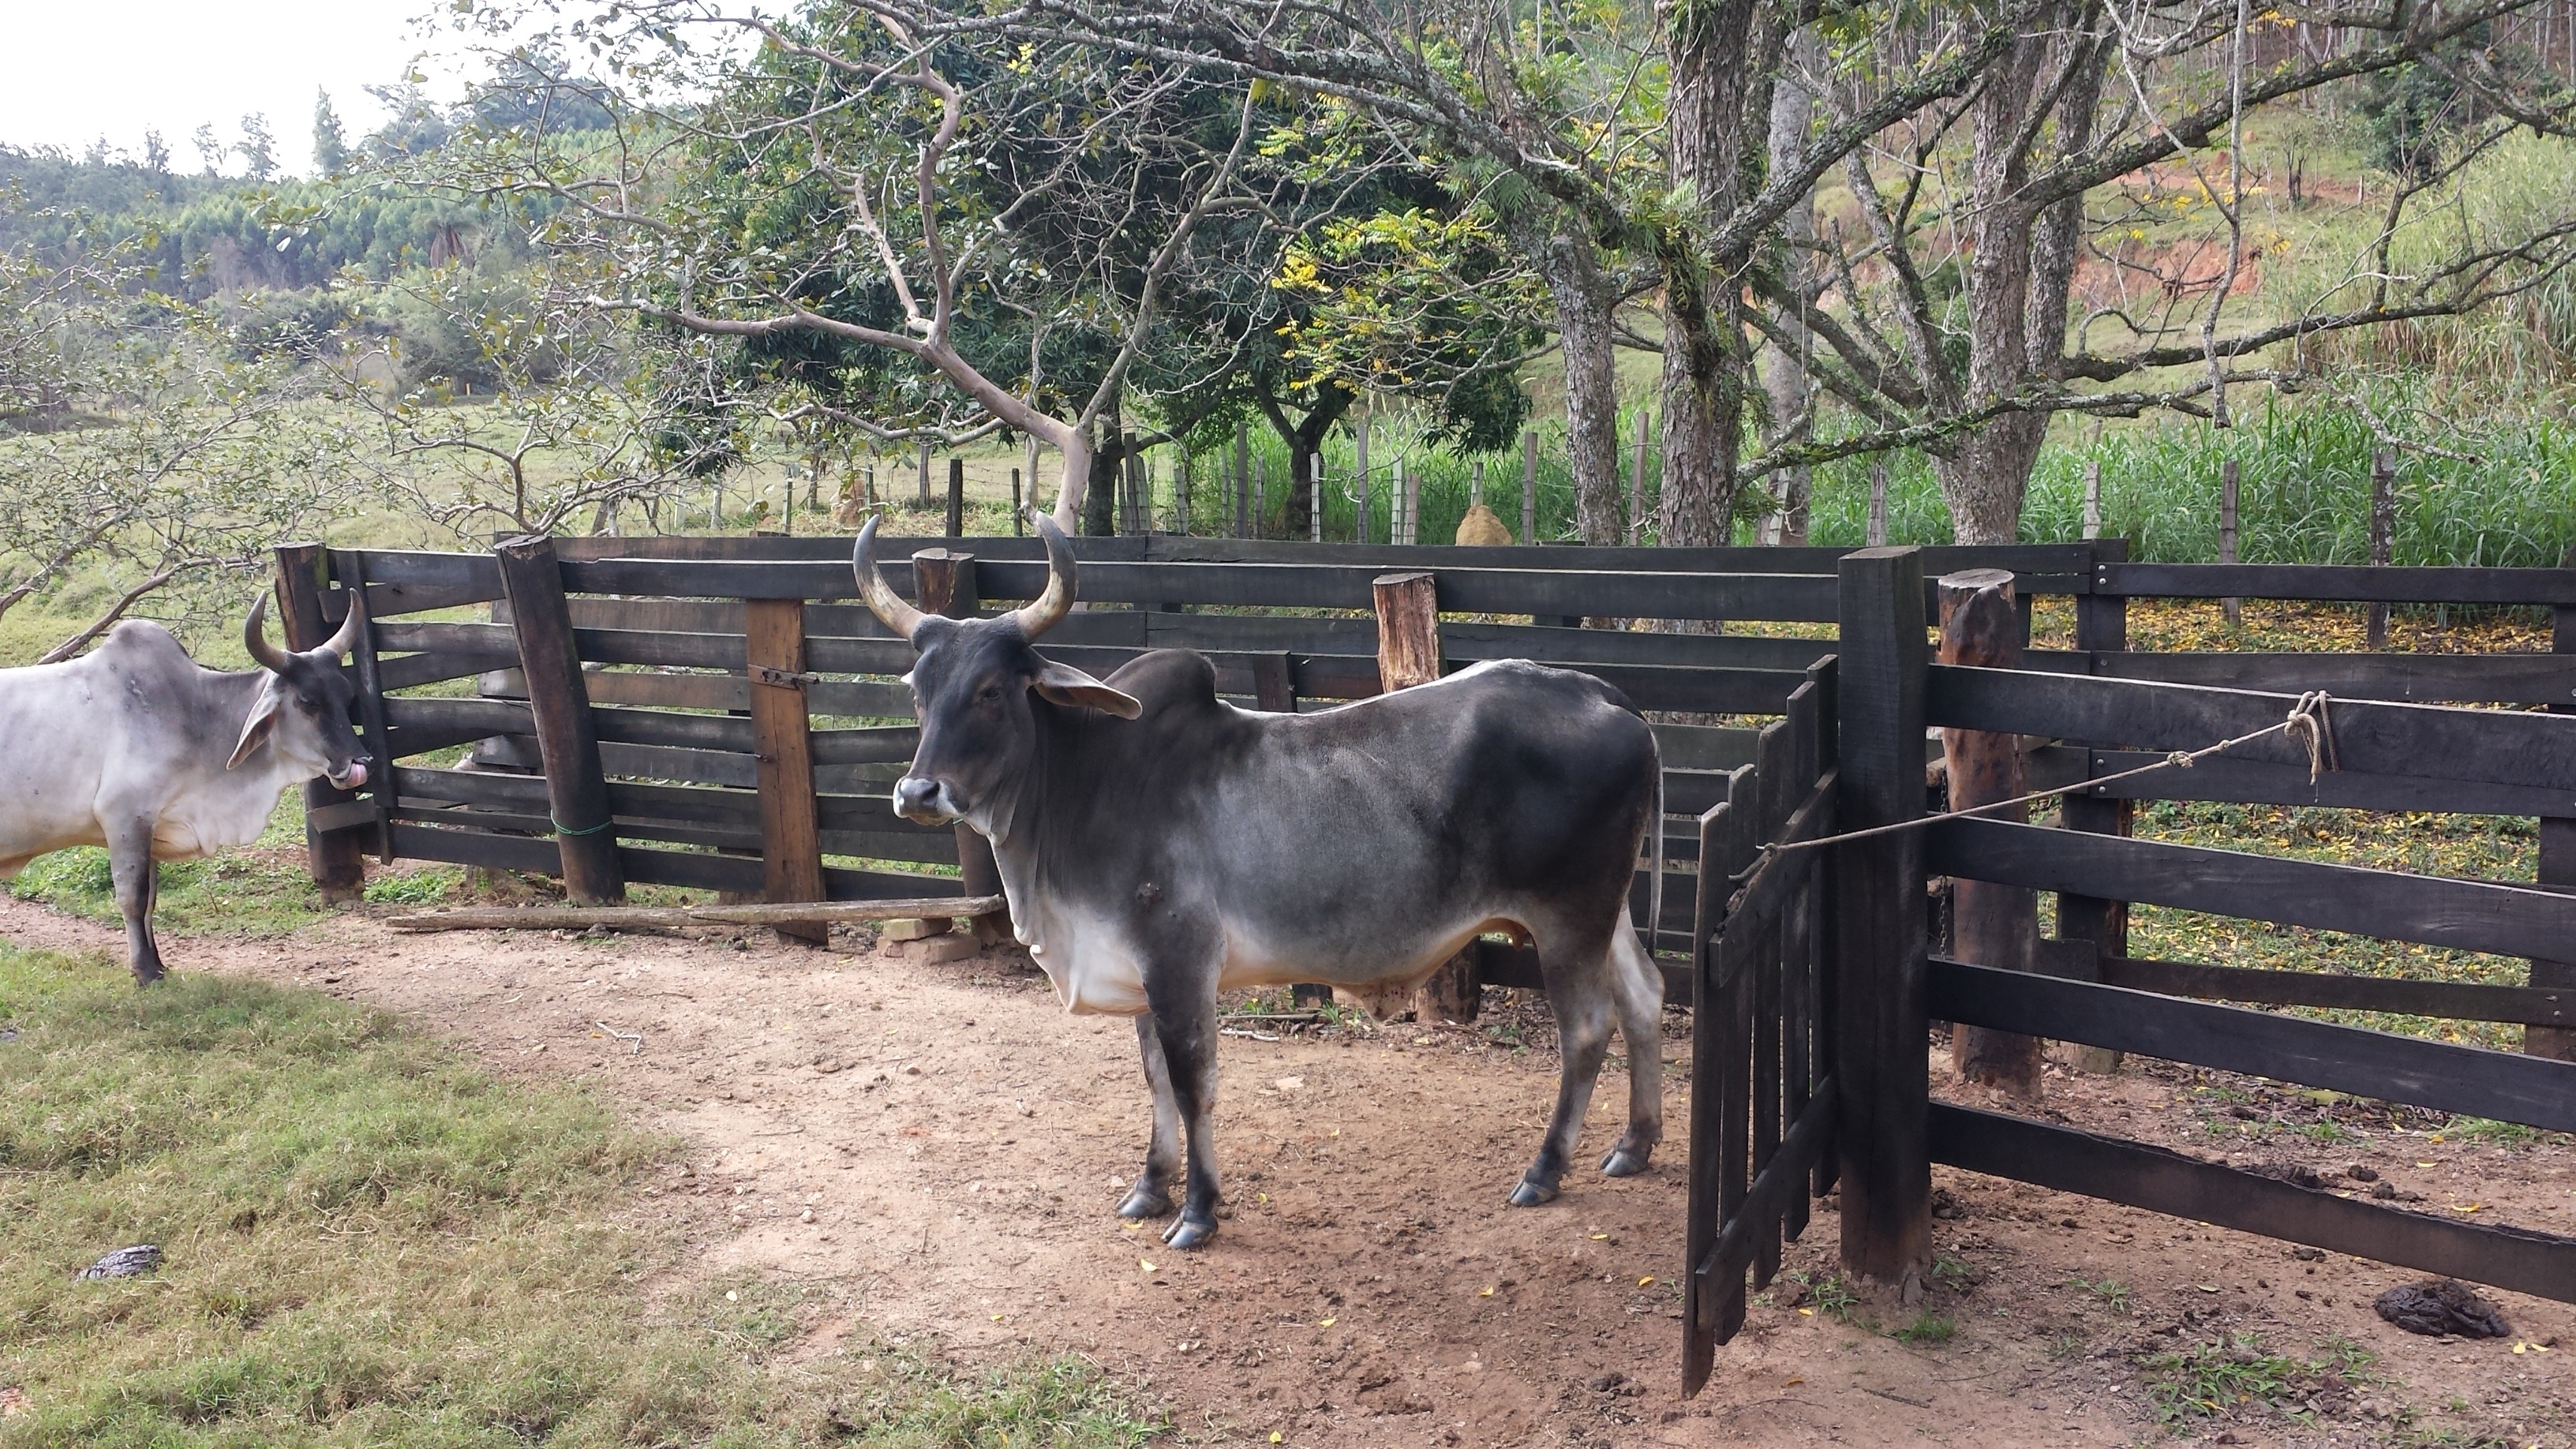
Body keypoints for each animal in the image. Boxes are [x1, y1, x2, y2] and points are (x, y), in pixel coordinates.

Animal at [0, 593, 371, 985]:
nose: (361, 762)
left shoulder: (151, 827)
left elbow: (150, 900)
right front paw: (144, 971)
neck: (195, 715)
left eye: (347, 696)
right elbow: (133, 898)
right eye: (308, 702)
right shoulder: (124, 819)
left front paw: (159, 964)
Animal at [852, 515, 1666, 1249]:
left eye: (992, 690)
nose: (918, 793)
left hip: (1567, 916)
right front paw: (1150, 1188)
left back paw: (1544, 1171)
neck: (1082, 787)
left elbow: (1191, 1083)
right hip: (1607, 912)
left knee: (1587, 1029)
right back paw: (1634, 1146)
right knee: (1644, 997)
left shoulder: (1179, 963)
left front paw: (1198, 1212)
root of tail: (1599, 693)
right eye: (917, 688)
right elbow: (1152, 1079)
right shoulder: (1139, 970)